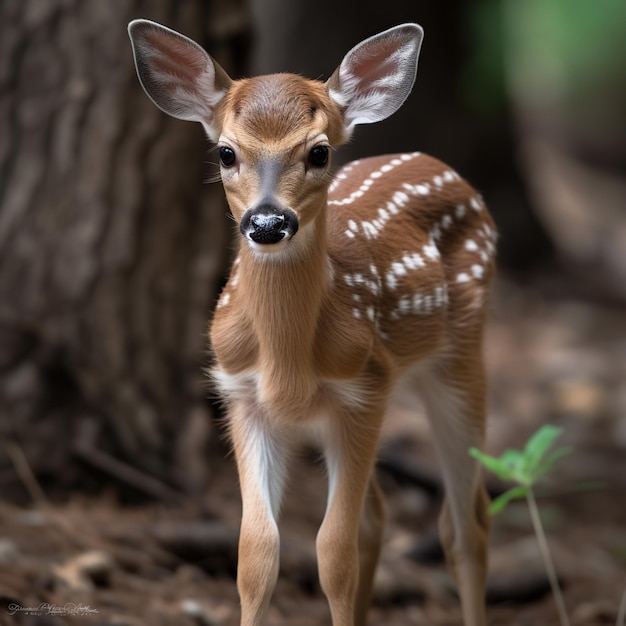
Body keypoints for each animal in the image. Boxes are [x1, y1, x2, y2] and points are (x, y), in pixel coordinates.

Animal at [129, 19, 494, 624]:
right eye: (226, 152)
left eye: (320, 153)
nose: (268, 222)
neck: (287, 362)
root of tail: (437, 163)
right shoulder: (241, 395)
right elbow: (256, 552)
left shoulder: (365, 388)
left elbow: (333, 553)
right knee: (379, 517)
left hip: (461, 356)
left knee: (466, 523)